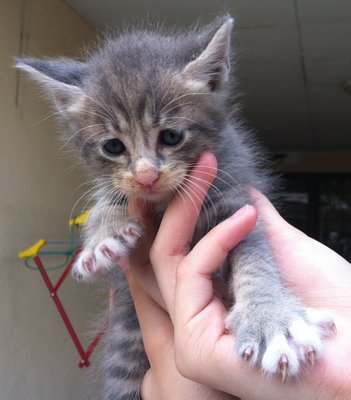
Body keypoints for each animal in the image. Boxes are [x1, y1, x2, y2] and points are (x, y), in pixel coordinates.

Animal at [17, 15, 336, 400]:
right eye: (113, 146)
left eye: (171, 136)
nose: (146, 176)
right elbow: (108, 194)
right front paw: (102, 237)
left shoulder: (234, 195)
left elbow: (255, 257)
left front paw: (270, 320)